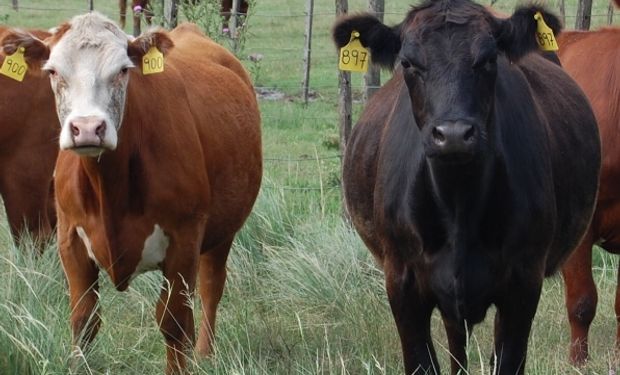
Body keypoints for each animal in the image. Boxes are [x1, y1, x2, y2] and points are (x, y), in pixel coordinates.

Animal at [334, 0, 600, 375]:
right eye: (407, 63)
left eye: (488, 60)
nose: (454, 134)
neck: (459, 202)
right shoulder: (401, 281)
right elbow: (422, 362)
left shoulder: (524, 282)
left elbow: (507, 360)